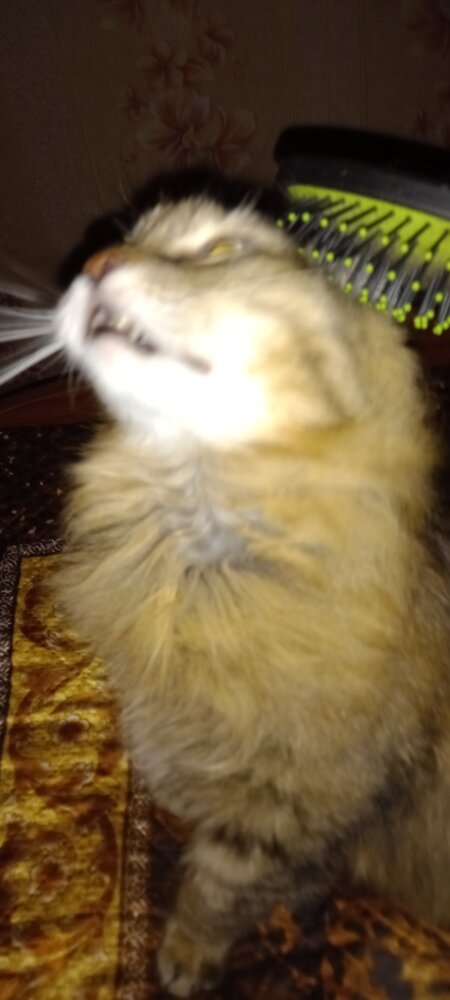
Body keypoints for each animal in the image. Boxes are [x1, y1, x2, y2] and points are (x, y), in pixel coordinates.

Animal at [4, 192, 450, 996]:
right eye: (127, 242)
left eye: (217, 253)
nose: (97, 261)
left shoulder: (295, 809)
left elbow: (219, 890)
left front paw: (185, 957)